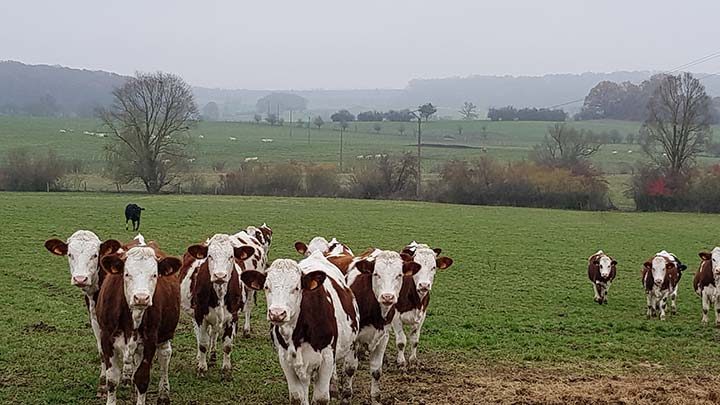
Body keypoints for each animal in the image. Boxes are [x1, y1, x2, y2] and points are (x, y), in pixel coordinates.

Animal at [43, 230, 121, 394]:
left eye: (95, 255)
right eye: (69, 254)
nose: (80, 279)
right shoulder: (94, 319)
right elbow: (102, 351)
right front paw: (103, 382)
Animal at [95, 237, 181, 404]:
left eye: (154, 275)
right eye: (127, 274)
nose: (141, 298)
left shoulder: (150, 340)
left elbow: (142, 379)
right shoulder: (106, 337)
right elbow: (112, 379)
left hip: (165, 334)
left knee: (165, 355)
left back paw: (163, 394)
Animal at [178, 232, 255, 378]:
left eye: (231, 256)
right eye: (210, 256)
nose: (220, 275)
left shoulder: (232, 317)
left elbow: (227, 345)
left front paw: (226, 370)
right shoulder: (200, 315)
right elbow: (202, 343)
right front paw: (202, 368)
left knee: (213, 333)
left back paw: (213, 355)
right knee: (200, 335)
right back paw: (200, 357)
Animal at [240, 252, 358, 404]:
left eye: (296, 287)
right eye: (266, 287)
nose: (277, 313)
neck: (296, 335)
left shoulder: (327, 357)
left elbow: (321, 398)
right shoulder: (286, 359)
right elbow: (297, 397)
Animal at [344, 248, 420, 402]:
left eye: (399, 275)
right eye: (376, 274)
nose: (387, 297)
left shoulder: (383, 336)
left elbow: (376, 371)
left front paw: (376, 397)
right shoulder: (352, 340)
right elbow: (350, 369)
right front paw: (346, 396)